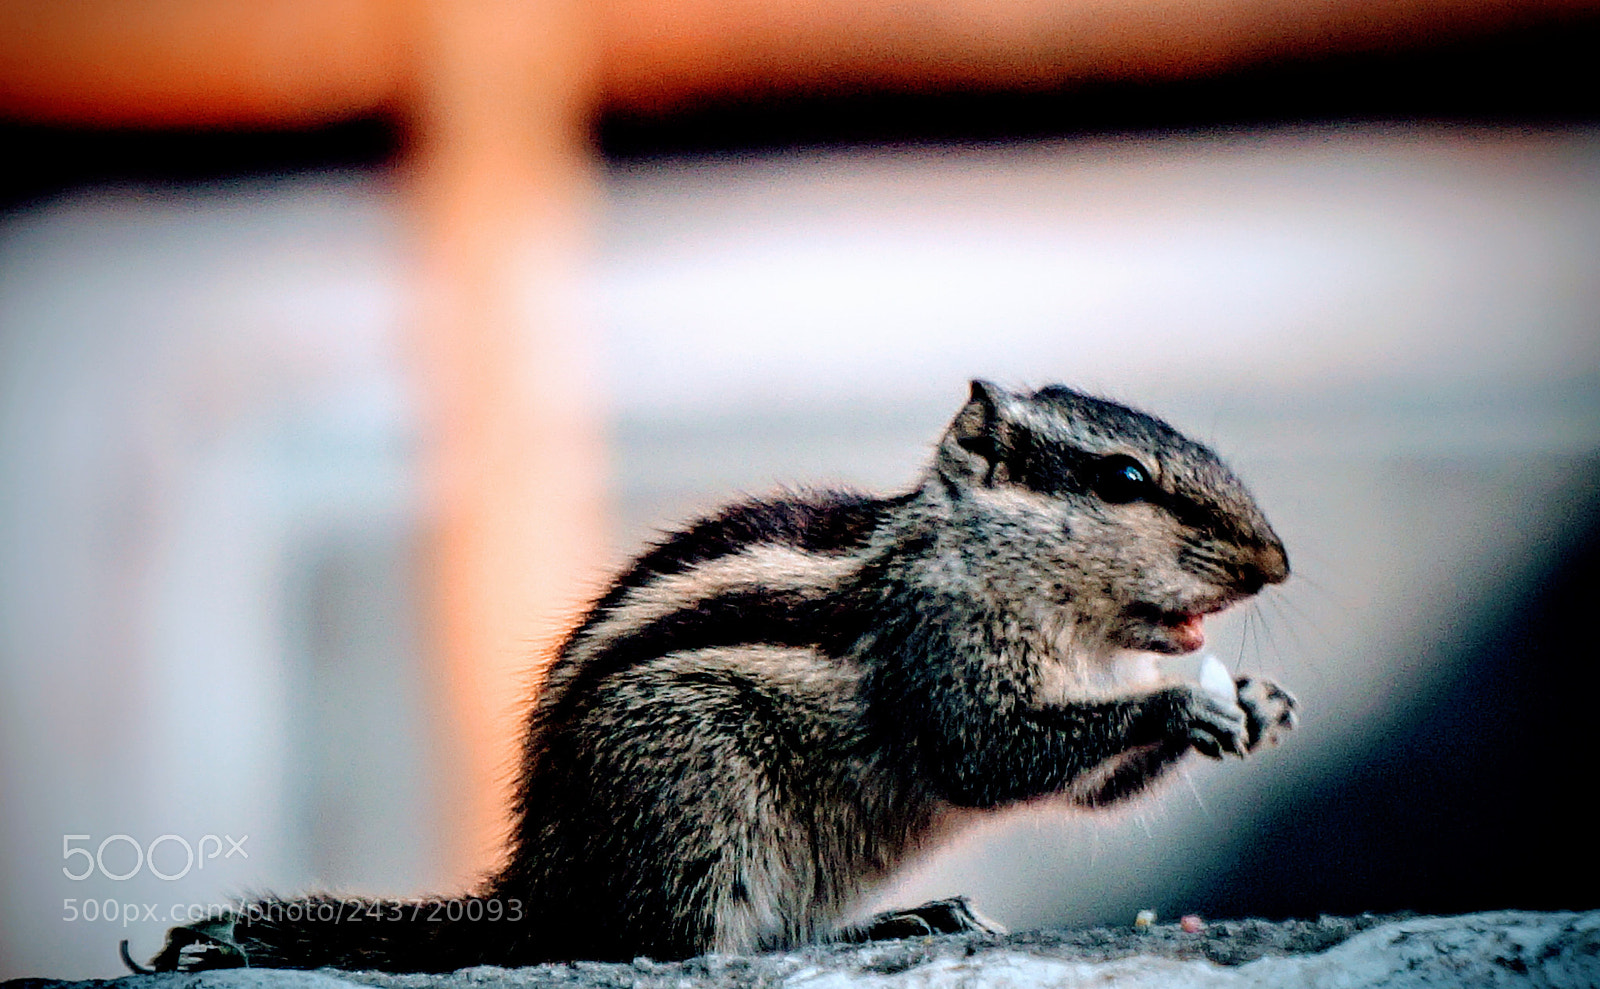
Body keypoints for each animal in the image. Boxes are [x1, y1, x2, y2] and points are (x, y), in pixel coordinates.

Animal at [131, 379, 1292, 972]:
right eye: (1125, 477)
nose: (1275, 562)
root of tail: (543, 877)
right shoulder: (937, 648)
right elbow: (986, 753)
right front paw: (1182, 701)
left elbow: (1088, 783)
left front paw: (1259, 703)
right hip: (700, 789)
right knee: (664, 944)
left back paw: (905, 917)